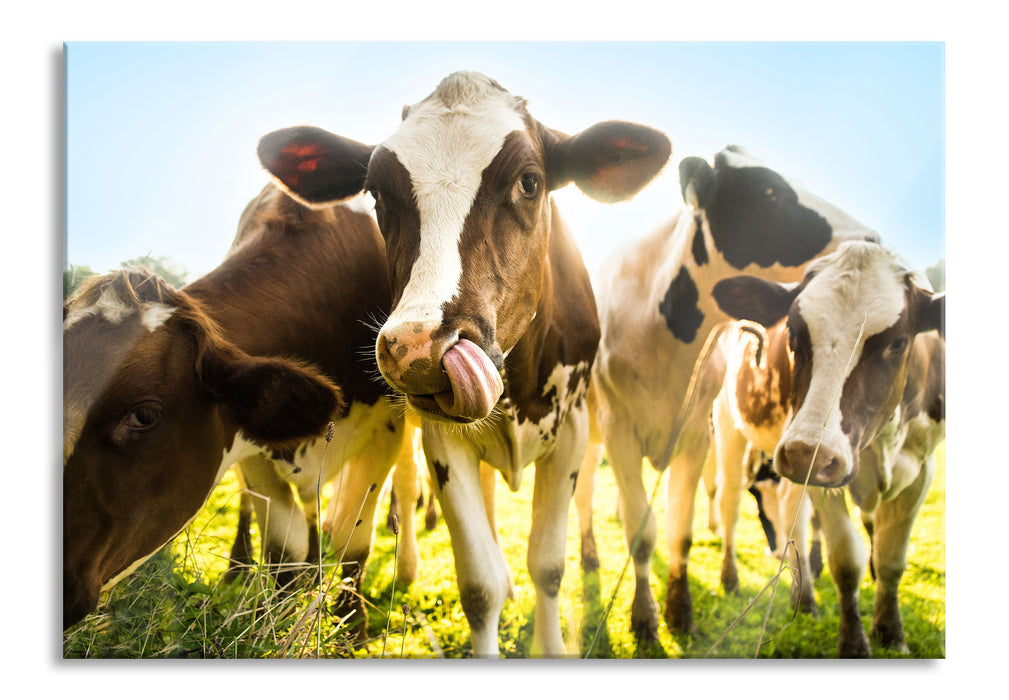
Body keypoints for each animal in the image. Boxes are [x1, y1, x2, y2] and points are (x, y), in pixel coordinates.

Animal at [64, 183, 405, 633]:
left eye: (143, 415)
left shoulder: (387, 428)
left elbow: (353, 538)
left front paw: (352, 628)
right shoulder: (253, 443)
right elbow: (283, 546)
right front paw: (273, 619)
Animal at [256, 71, 674, 657]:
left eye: (529, 182)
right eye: (376, 193)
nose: (418, 349)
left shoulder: (571, 431)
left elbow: (548, 566)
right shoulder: (442, 442)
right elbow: (480, 584)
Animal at [581, 145, 879, 645]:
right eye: (770, 191)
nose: (872, 239)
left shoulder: (697, 433)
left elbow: (678, 529)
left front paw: (680, 611)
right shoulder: (619, 430)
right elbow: (641, 531)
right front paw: (644, 619)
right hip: (585, 432)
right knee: (582, 492)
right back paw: (587, 555)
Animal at [710, 241, 944, 657]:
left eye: (898, 343)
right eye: (792, 334)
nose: (806, 453)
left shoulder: (921, 469)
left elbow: (891, 557)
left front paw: (891, 631)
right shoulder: (822, 475)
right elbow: (846, 560)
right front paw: (854, 644)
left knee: (791, 511)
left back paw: (803, 598)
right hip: (732, 432)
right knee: (731, 504)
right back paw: (732, 578)